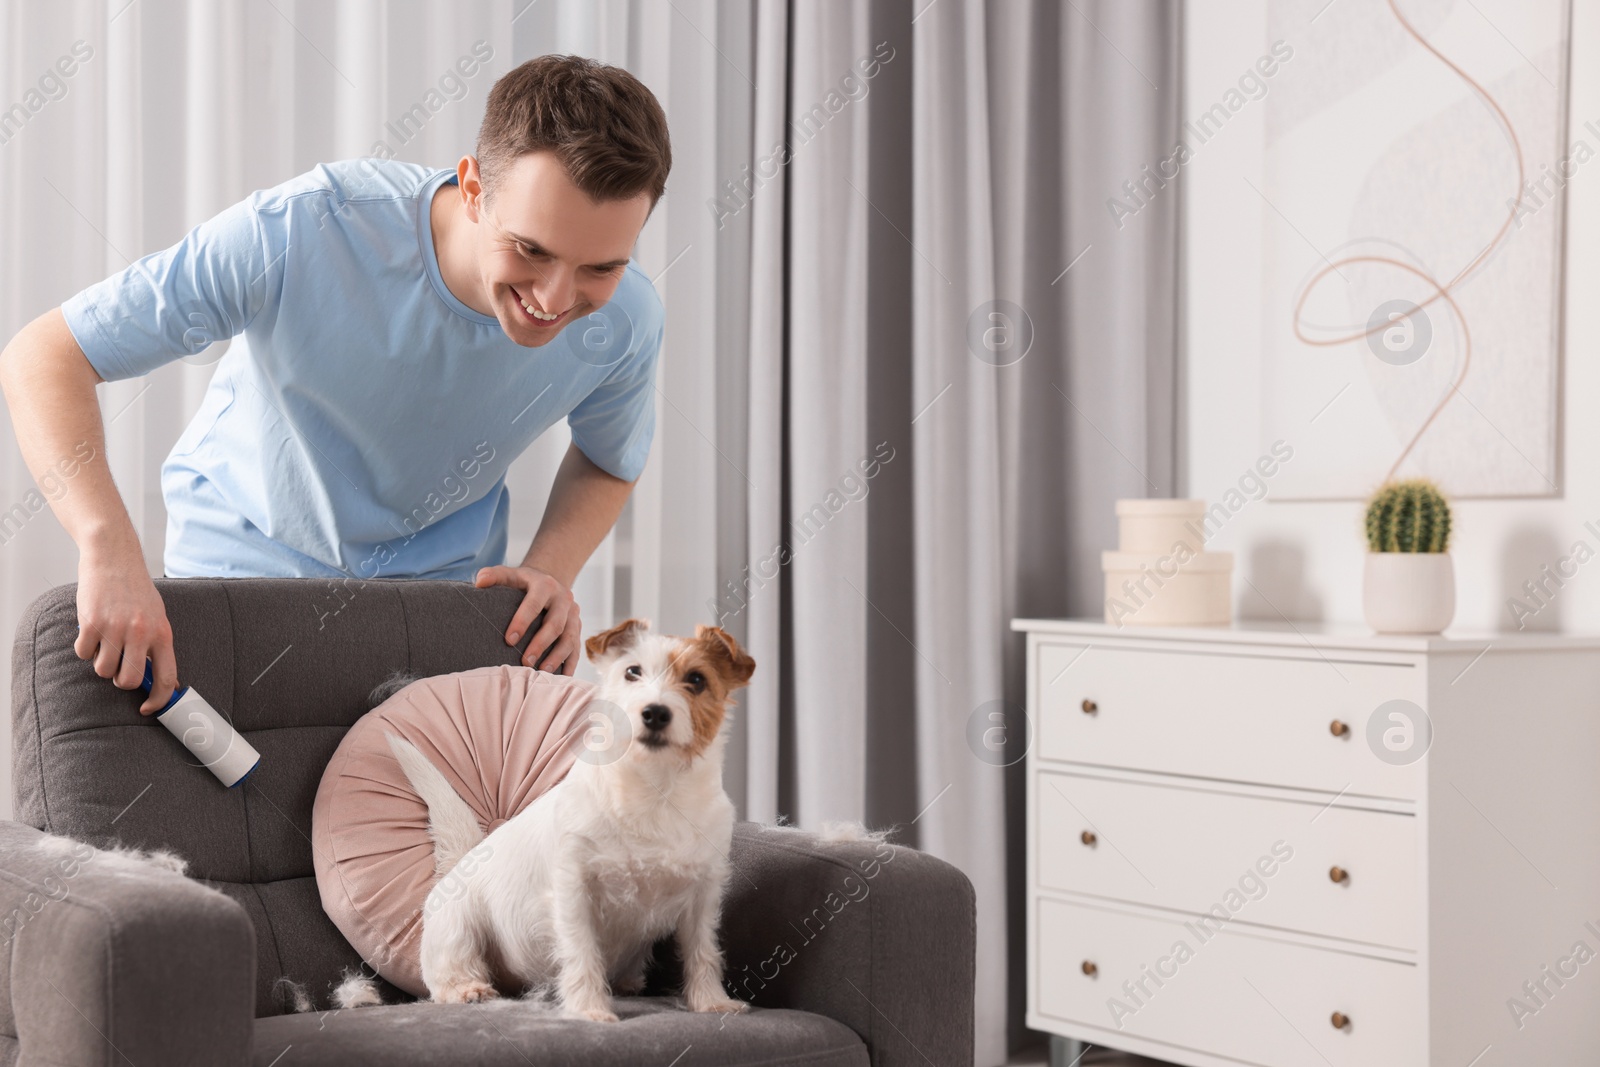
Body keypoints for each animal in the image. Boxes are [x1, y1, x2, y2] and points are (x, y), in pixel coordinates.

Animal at [390, 620, 758, 1023]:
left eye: (696, 679)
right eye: (632, 671)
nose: (655, 713)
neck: (654, 790)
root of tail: (461, 862)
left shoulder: (702, 898)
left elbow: (703, 952)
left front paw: (712, 1002)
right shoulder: (574, 890)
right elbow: (582, 952)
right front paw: (589, 1010)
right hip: (457, 930)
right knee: (448, 972)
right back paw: (467, 989)